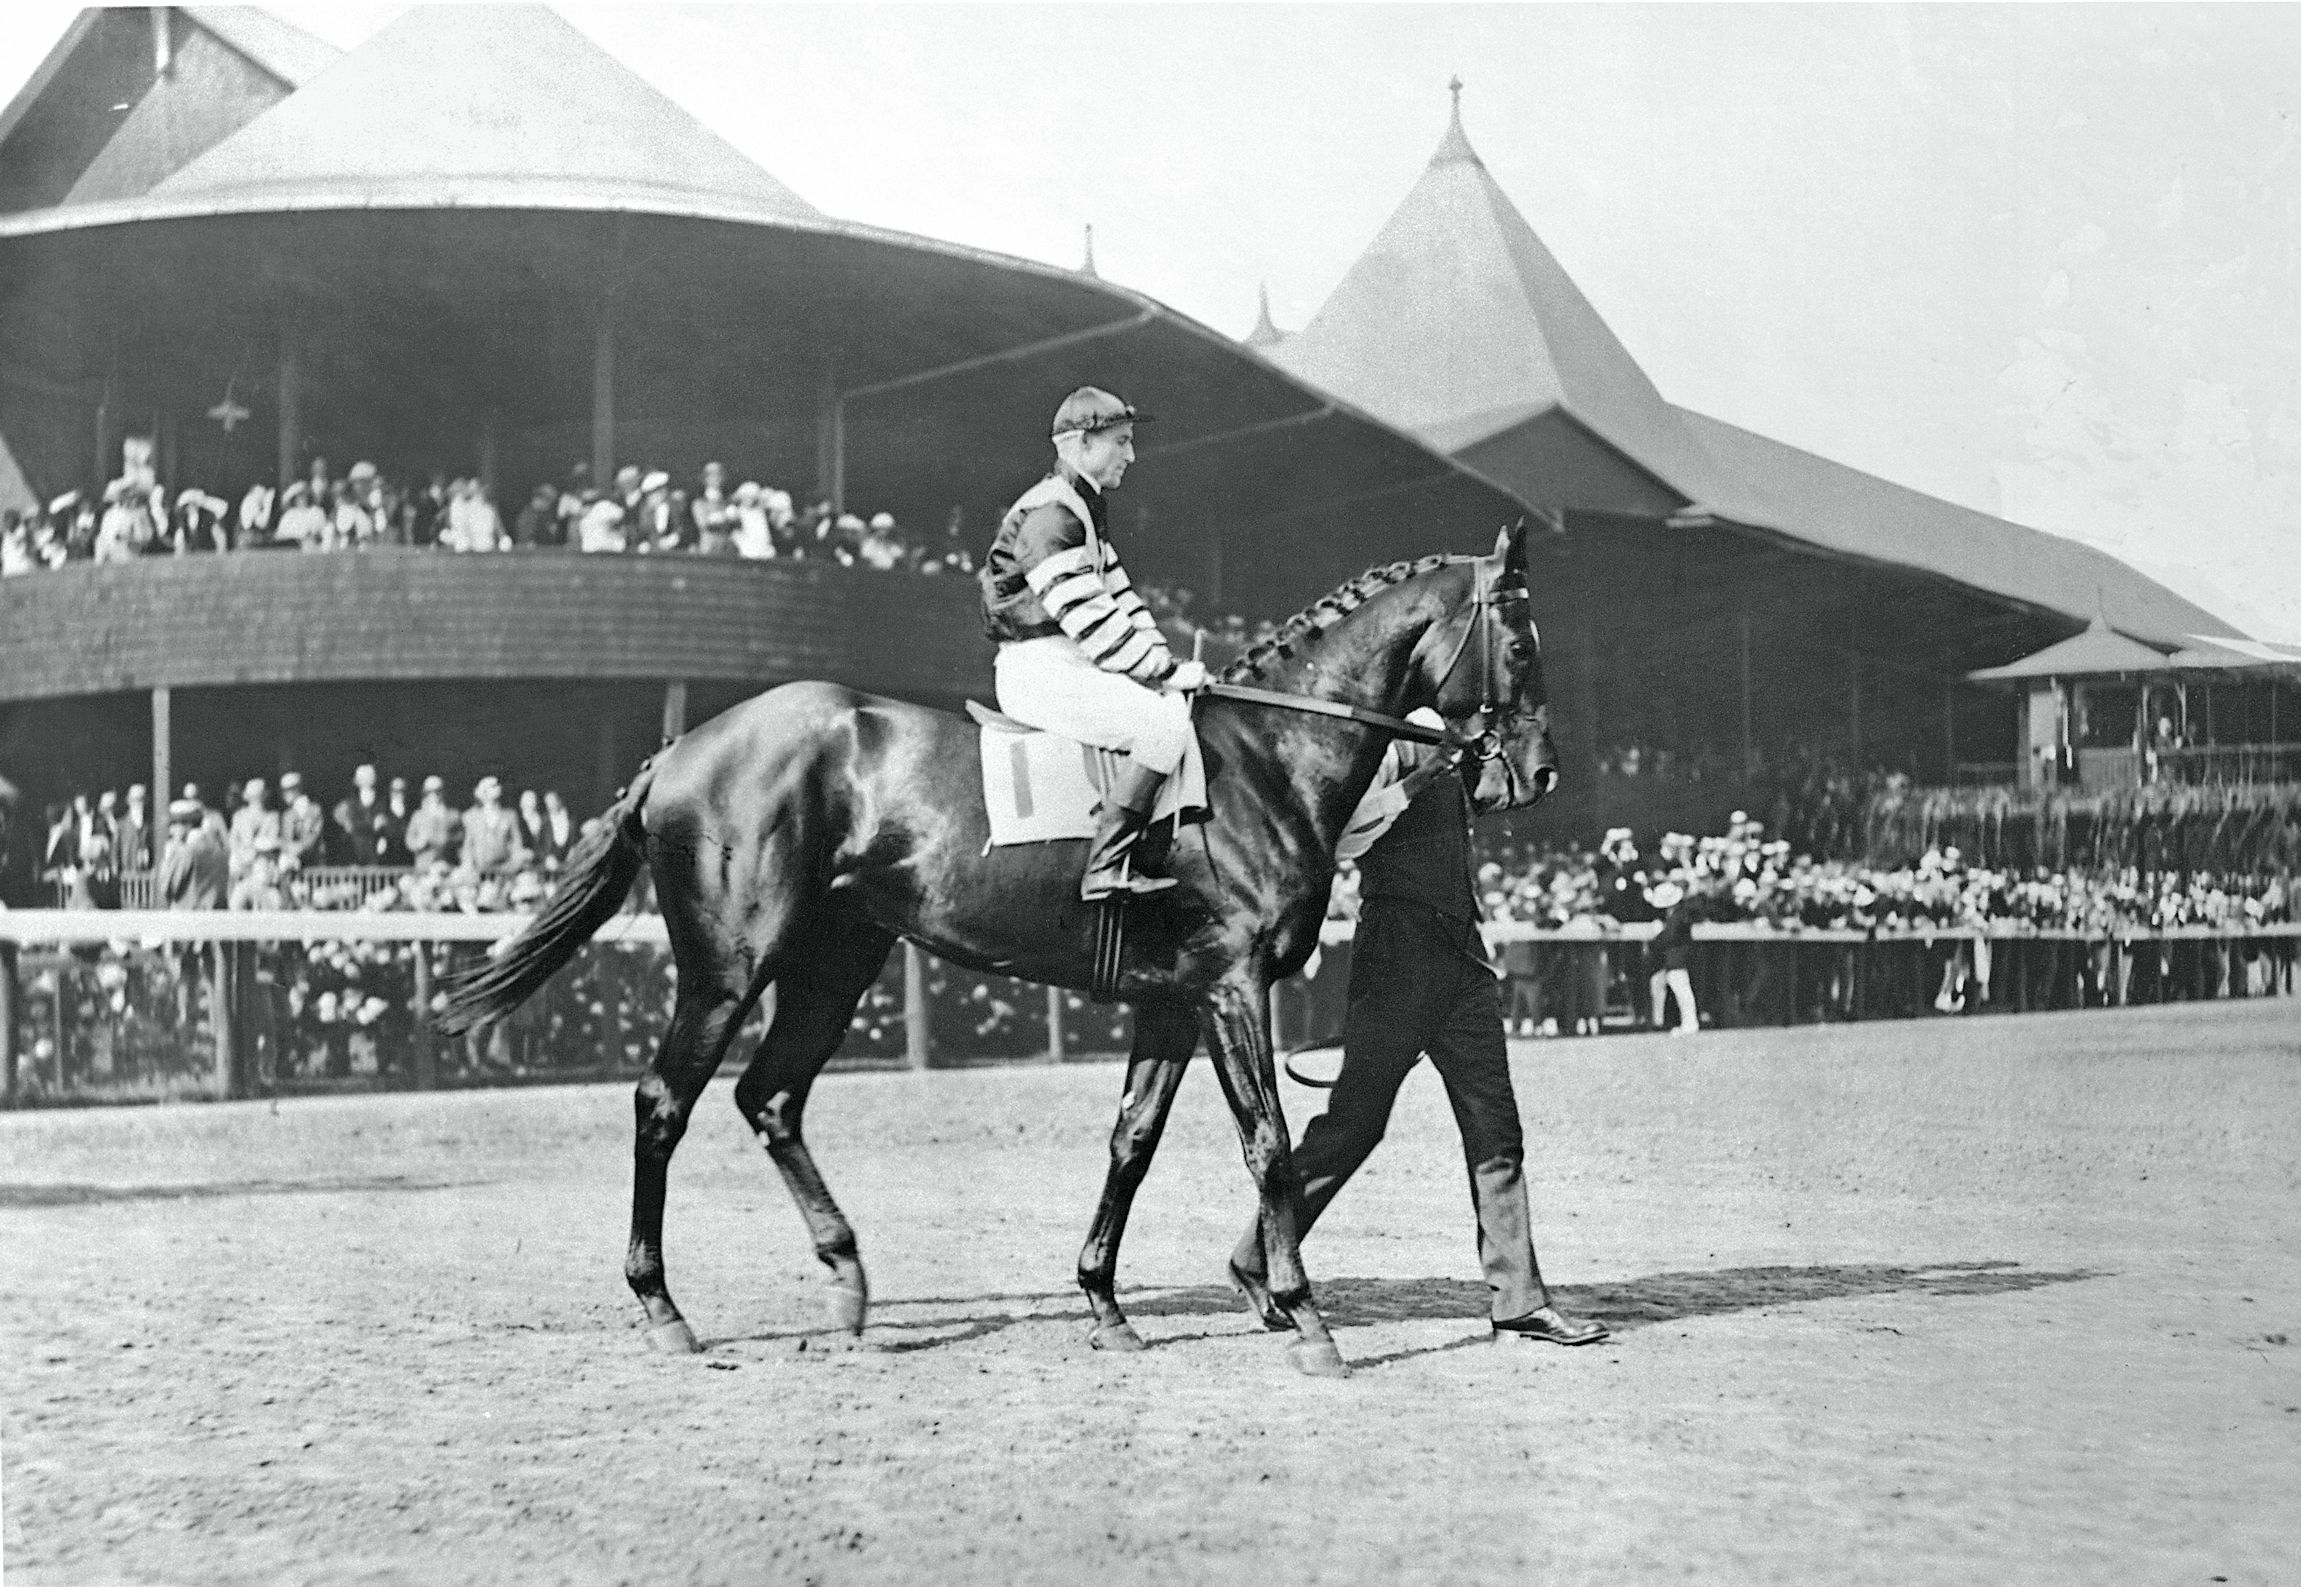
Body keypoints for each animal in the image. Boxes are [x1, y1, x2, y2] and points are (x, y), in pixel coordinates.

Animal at [439, 519, 1555, 1370]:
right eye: (1523, 642)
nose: (1536, 773)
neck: (1263, 761)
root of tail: (678, 749)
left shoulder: (1172, 999)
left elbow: (1132, 1143)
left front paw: (1105, 1302)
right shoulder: (1233, 987)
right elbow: (1270, 1144)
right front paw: (1306, 1317)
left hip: (837, 961)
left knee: (771, 1097)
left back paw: (847, 1281)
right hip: (728, 967)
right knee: (663, 1102)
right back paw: (664, 1306)